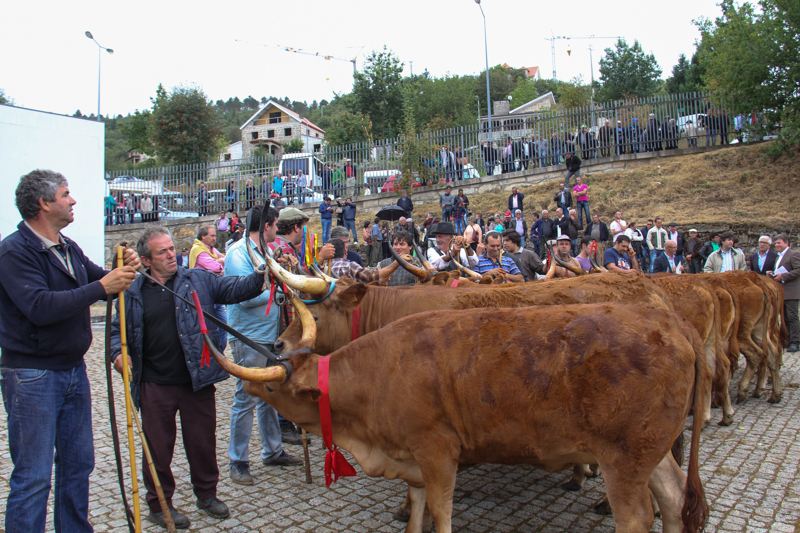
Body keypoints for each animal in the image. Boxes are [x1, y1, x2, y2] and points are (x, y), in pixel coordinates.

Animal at [225, 300, 708, 532]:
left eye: (273, 386)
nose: (249, 380)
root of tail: (672, 320)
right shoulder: (413, 460)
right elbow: (416, 517)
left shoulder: (437, 450)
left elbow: (441, 514)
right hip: (649, 452)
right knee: (673, 497)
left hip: (623, 460)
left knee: (638, 517)